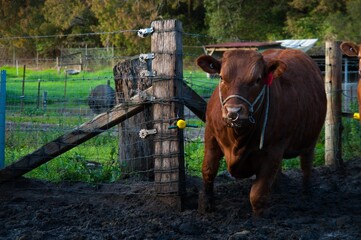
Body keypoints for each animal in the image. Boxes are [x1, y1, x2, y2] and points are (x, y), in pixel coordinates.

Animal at [197, 49, 326, 215]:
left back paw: (306, 195)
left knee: (306, 167)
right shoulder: (211, 135)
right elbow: (208, 170)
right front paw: (206, 205)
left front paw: (258, 218)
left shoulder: (274, 151)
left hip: (310, 141)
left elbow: (258, 193)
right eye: (221, 77)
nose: (233, 112)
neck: (238, 139)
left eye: (257, 79)